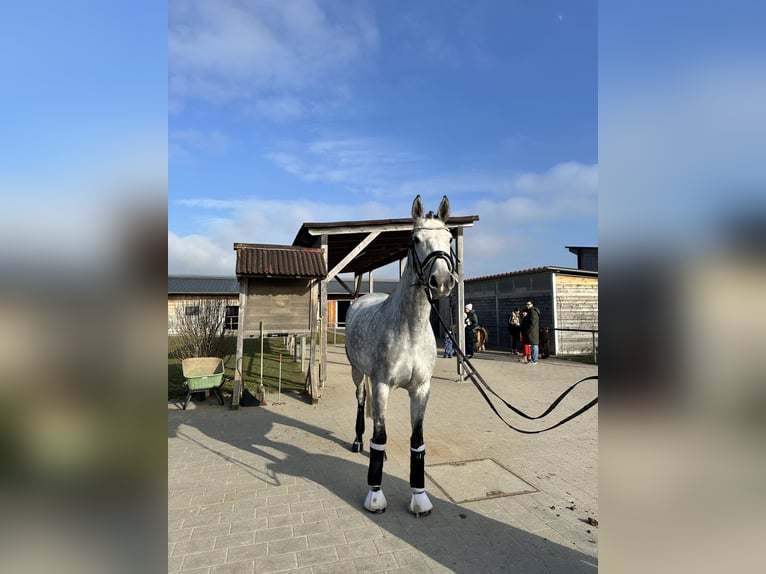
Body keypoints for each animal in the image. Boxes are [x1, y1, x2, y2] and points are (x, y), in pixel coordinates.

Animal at [346, 197, 456, 516]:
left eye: (449, 239)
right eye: (415, 239)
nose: (441, 282)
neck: (411, 329)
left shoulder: (421, 389)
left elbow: (417, 441)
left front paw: (419, 498)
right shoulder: (381, 385)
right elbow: (380, 438)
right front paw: (375, 497)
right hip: (358, 373)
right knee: (361, 402)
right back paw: (357, 441)